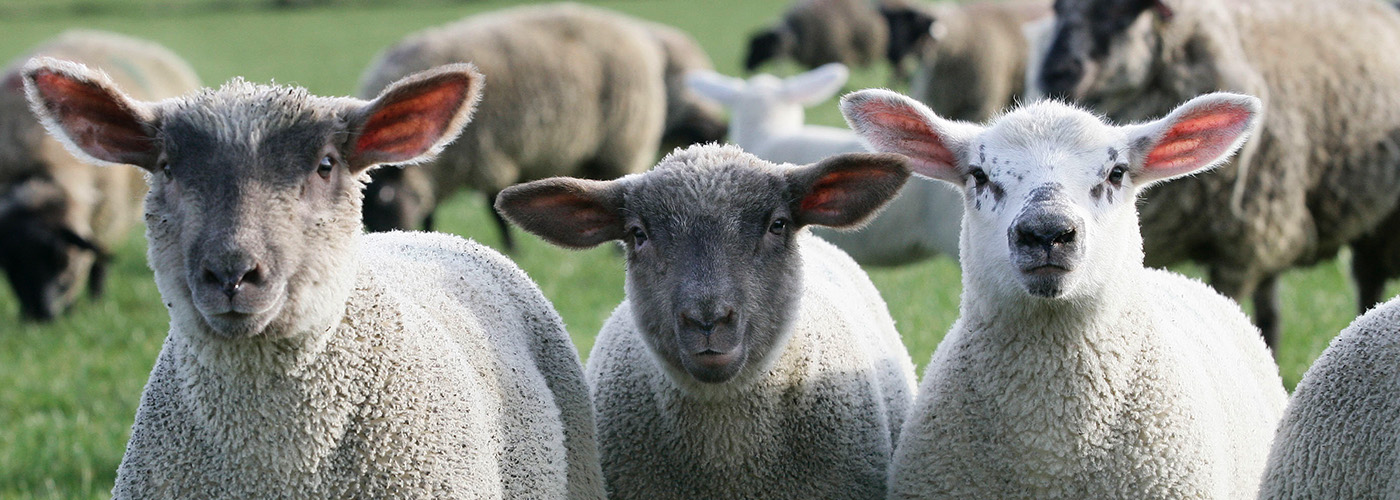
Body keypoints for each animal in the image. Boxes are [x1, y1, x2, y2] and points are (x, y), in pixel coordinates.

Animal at [0, 30, 199, 320]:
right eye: (9, 264)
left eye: (62, 259)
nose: (42, 316)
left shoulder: (105, 219)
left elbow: (98, 259)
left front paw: (93, 303)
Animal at [357, 4, 719, 250]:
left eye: (385, 200)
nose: (382, 237)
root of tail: (629, 30)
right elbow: (432, 211)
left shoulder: (491, 156)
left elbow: (494, 207)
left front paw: (511, 247)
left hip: (621, 141)